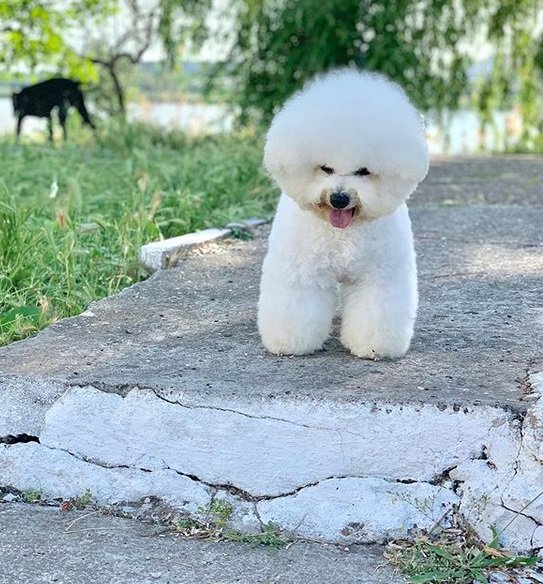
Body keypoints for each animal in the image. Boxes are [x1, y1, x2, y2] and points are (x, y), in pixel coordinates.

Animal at [258, 70, 430, 358]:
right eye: (325, 168)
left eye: (364, 171)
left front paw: (374, 346)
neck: (342, 233)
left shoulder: (378, 275)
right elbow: (296, 306)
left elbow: (376, 311)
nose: (339, 199)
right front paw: (290, 343)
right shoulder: (302, 271)